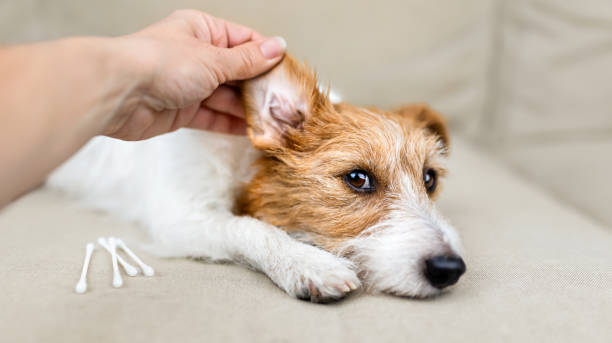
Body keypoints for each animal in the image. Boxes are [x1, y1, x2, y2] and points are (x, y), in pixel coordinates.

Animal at [47, 54, 466, 304]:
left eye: (429, 179)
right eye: (358, 178)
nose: (450, 269)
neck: (245, 160)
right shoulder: (183, 217)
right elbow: (248, 227)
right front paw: (305, 262)